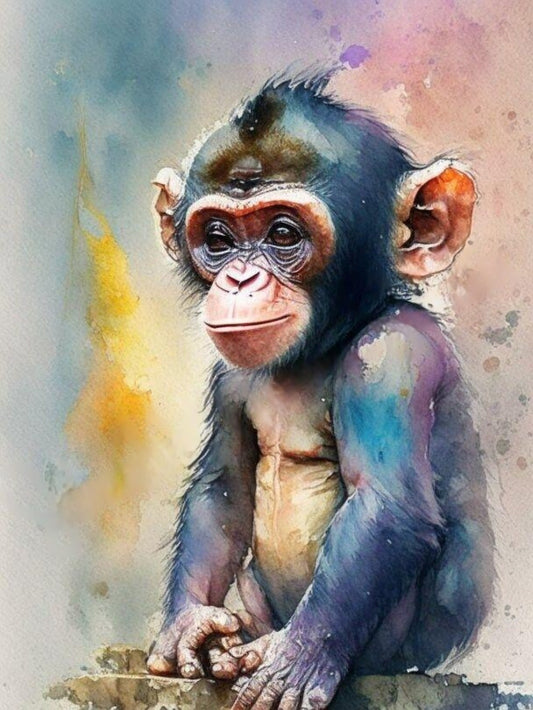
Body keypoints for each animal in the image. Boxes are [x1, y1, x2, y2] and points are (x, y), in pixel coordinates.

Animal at [147, 72, 494, 710]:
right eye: (218, 238)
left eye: (283, 233)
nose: (239, 279)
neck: (321, 345)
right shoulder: (228, 379)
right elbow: (223, 486)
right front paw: (188, 627)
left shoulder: (392, 356)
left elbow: (385, 505)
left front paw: (296, 661)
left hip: (398, 649)